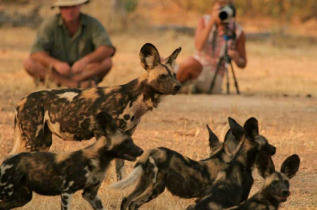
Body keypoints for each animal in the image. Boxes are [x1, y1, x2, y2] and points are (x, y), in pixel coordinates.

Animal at [0, 112, 142, 209]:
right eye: (126, 142)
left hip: (23, 197)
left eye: (131, 140)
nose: (141, 151)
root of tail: (7, 161)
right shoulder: (67, 192)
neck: (98, 159)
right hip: (8, 190)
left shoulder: (91, 195)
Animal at [11, 42, 180, 179]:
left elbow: (120, 169)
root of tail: (22, 101)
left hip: (44, 141)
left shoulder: (125, 136)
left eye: (174, 75)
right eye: (163, 76)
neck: (134, 99)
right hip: (33, 140)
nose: (178, 86)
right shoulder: (103, 135)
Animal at [108, 117, 274, 209]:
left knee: (126, 200)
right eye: (265, 144)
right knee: (134, 203)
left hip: (143, 183)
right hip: (156, 188)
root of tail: (153, 150)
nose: (274, 149)